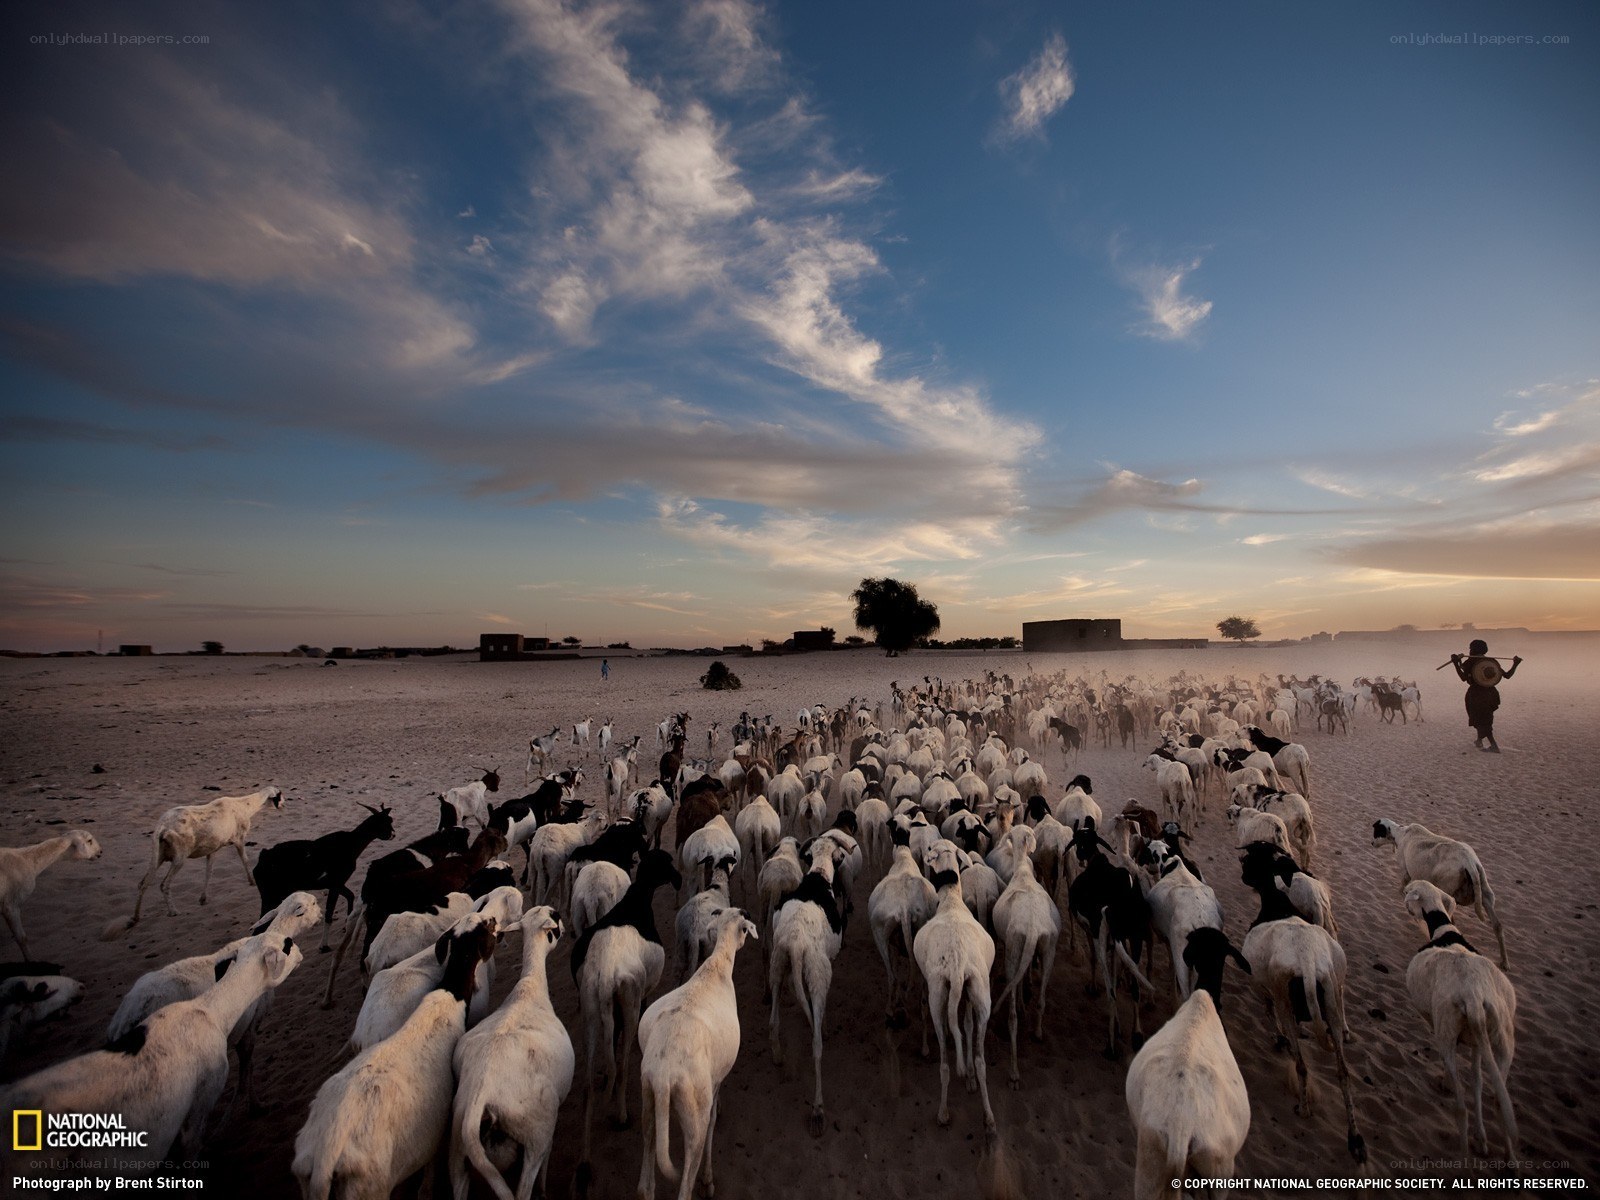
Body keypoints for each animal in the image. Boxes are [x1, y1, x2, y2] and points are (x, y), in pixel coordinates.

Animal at [102, 787, 285, 938]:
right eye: (279, 795)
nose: (285, 804)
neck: (245, 805)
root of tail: (162, 826)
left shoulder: (212, 850)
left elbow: (209, 872)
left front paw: (203, 898)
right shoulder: (239, 840)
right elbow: (245, 861)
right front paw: (251, 881)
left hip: (158, 855)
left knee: (143, 883)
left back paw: (135, 918)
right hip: (179, 857)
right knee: (164, 884)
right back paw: (173, 911)